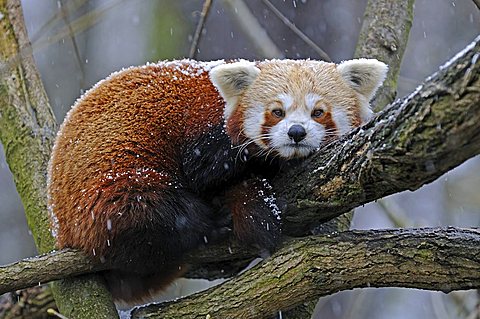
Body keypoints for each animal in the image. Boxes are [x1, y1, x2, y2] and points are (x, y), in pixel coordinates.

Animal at [47, 58, 388, 304]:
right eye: (277, 112)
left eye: (318, 112)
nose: (296, 133)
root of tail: (59, 225)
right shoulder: (203, 131)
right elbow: (205, 170)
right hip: (111, 181)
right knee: (151, 211)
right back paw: (211, 222)